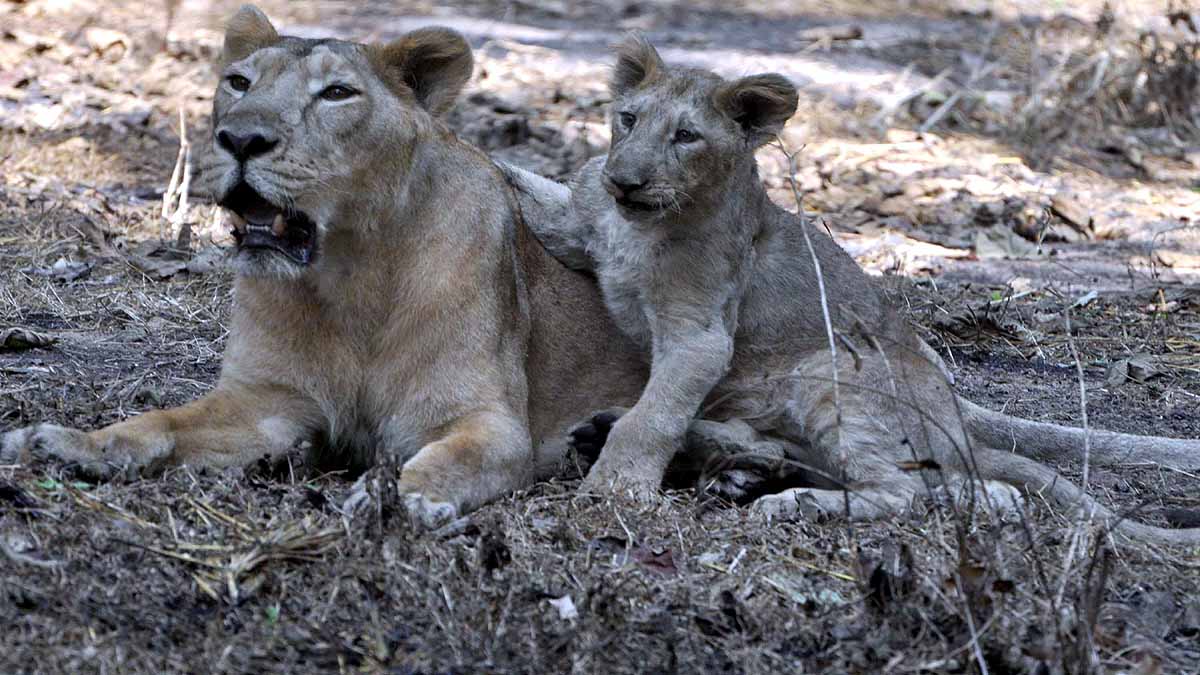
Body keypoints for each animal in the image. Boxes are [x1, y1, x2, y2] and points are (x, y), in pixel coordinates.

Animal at [0, 6, 651, 528]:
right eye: (238, 82)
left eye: (336, 94)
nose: (240, 139)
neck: (350, 274)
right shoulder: (265, 402)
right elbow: (159, 423)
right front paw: (71, 445)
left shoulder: (488, 424)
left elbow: (446, 461)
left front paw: (395, 500)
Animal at [501, 35, 1200, 545]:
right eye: (628, 118)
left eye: (686, 136)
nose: (625, 180)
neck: (637, 227)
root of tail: (952, 409)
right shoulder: (579, 231)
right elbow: (530, 189)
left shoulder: (699, 333)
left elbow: (656, 416)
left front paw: (616, 489)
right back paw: (728, 469)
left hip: (832, 371)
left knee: (905, 490)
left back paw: (792, 503)